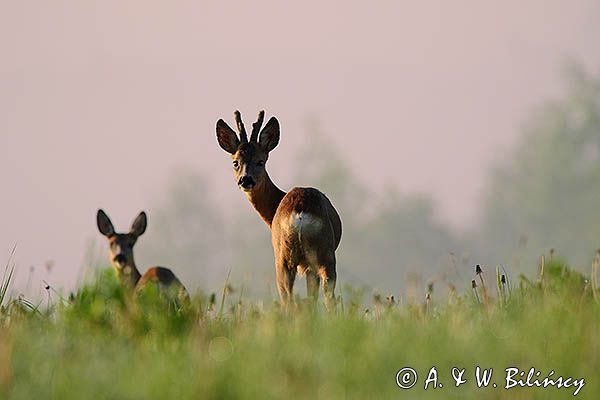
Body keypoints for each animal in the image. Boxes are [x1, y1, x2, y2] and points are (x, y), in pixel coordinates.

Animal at [216, 111, 342, 308]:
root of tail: (299, 214)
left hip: (291, 256)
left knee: (293, 298)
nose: (246, 180)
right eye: (235, 162)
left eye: (261, 161)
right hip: (315, 254)